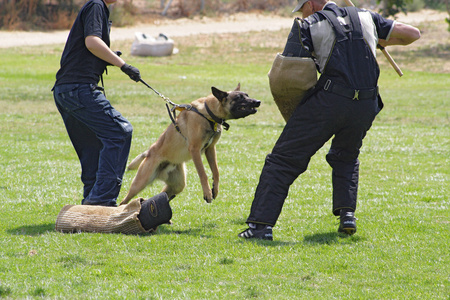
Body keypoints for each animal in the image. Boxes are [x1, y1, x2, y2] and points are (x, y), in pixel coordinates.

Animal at [120, 84, 260, 206]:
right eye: (239, 98)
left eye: (247, 95)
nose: (258, 101)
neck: (208, 114)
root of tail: (149, 152)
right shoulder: (195, 150)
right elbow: (203, 173)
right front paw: (207, 193)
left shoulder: (210, 149)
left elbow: (216, 171)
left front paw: (215, 189)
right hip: (140, 182)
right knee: (124, 200)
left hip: (178, 185)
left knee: (162, 195)